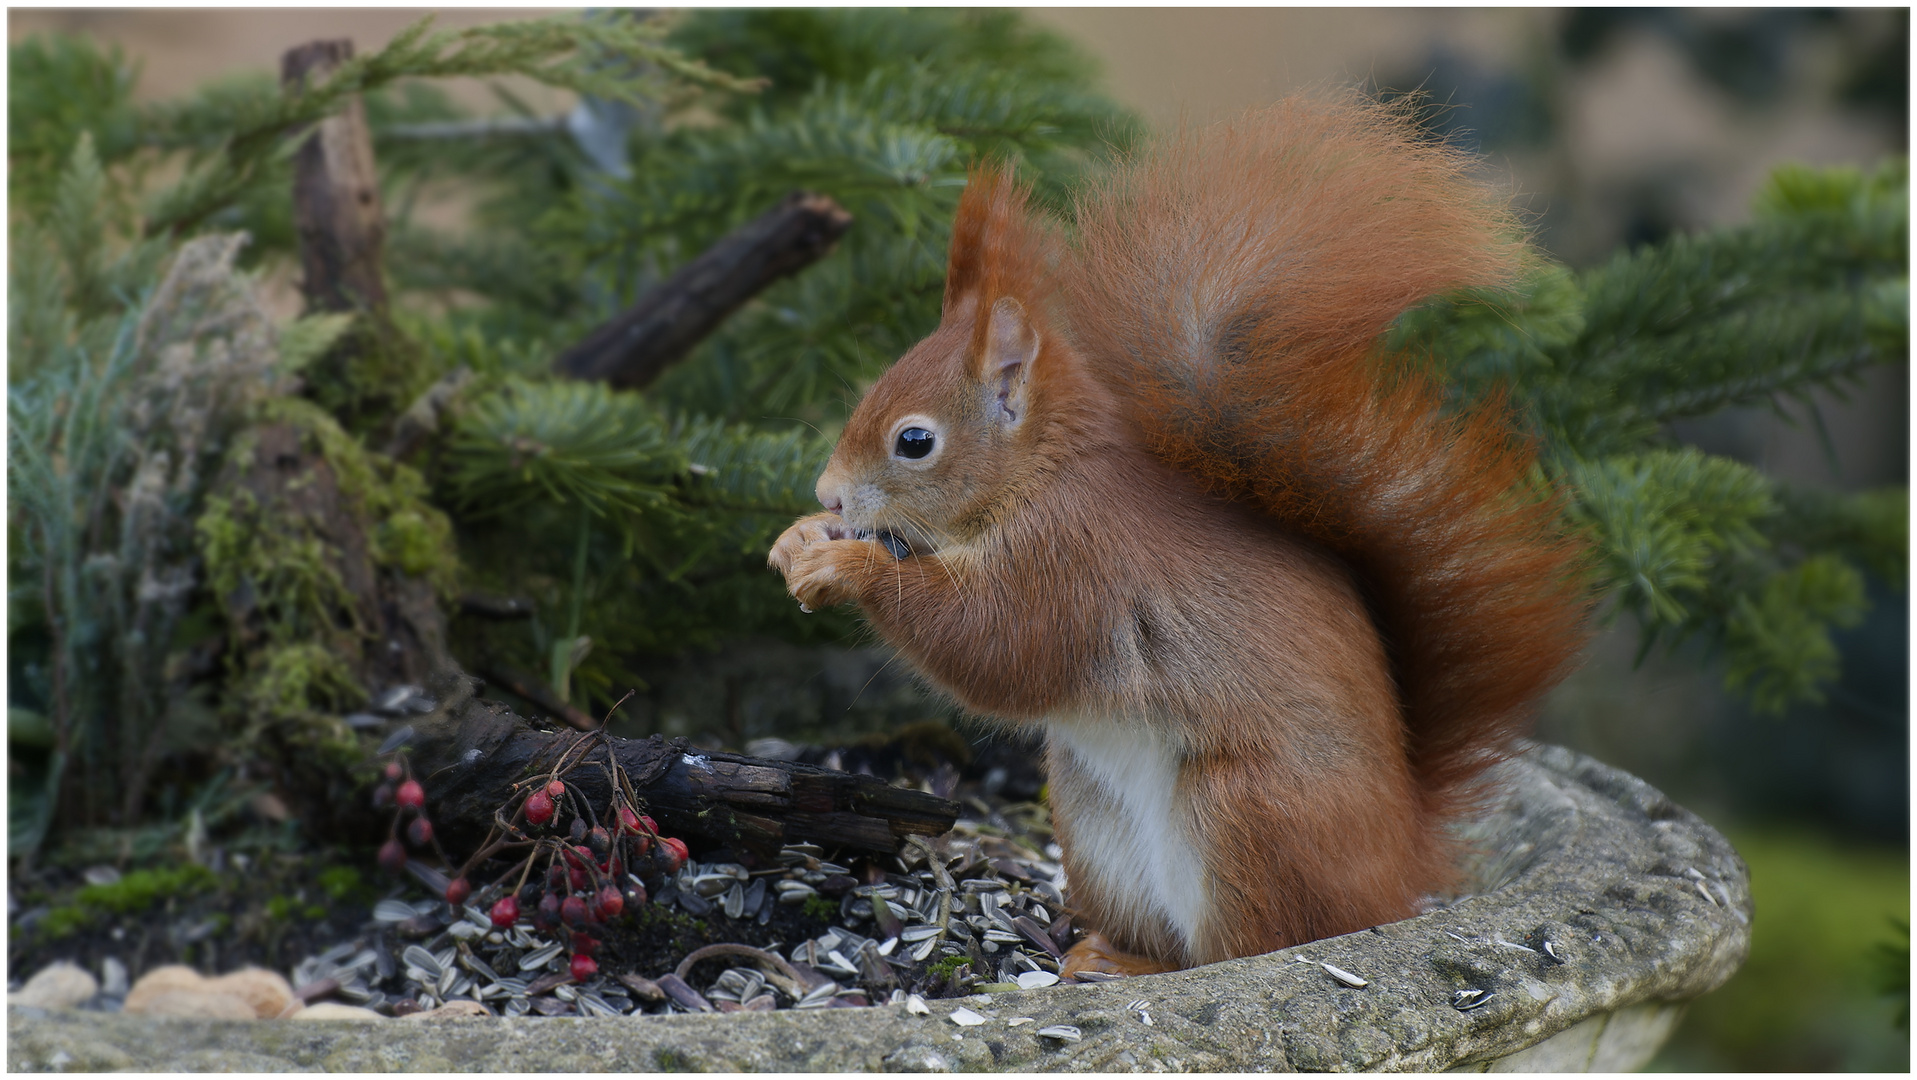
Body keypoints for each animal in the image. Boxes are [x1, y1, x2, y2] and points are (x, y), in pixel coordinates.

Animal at [762, 97, 1587, 982]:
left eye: (913, 441)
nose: (827, 493)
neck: (1041, 475)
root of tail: (1400, 863)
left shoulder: (1074, 559)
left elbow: (995, 644)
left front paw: (841, 562)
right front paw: (796, 537)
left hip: (1239, 813)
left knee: (1254, 948)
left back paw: (1144, 970)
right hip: (1090, 810)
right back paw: (1108, 954)